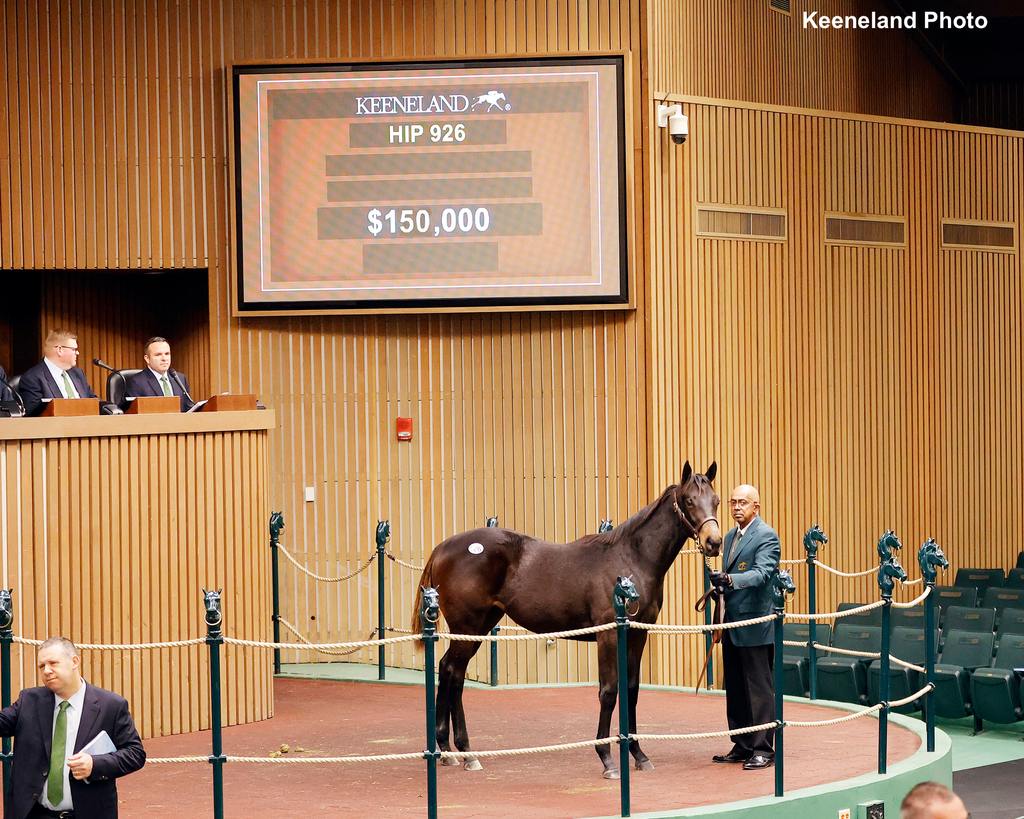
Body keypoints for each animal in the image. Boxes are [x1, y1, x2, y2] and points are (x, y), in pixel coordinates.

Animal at [411, 464, 724, 778]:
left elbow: (631, 690)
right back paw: (465, 752)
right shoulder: (609, 636)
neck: (631, 560)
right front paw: (607, 759)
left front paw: (638, 754)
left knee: (450, 670)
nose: (714, 542)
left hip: (480, 627)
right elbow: (609, 691)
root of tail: (442, 548)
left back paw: (449, 750)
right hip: (468, 627)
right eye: (689, 501)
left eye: (716, 500)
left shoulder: (637, 634)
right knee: (453, 672)